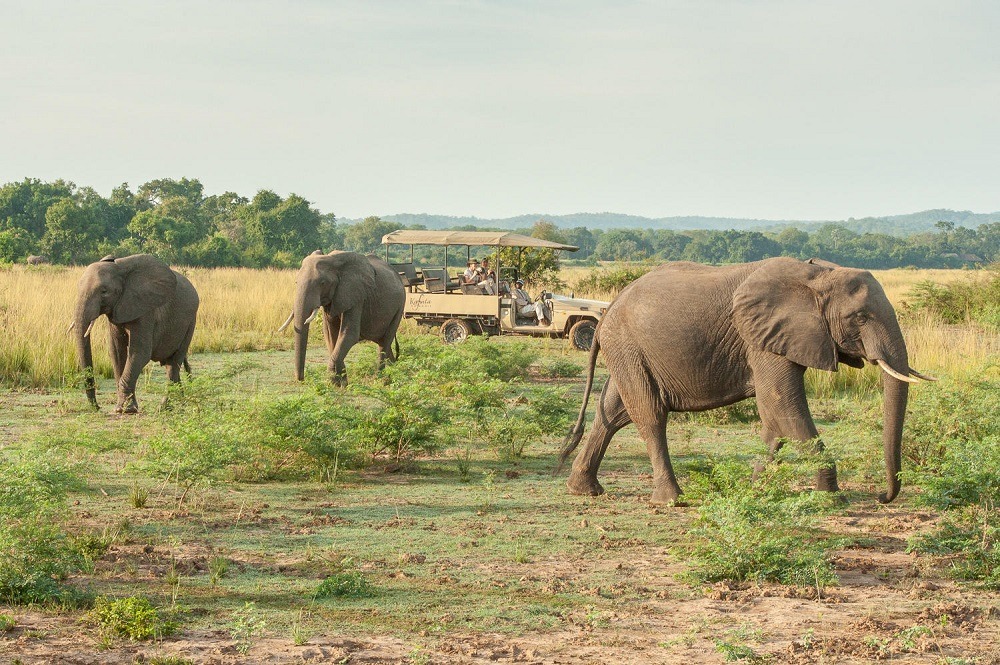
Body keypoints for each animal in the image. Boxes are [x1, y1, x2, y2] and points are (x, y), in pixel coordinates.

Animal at [73, 253, 199, 412]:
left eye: (104, 291)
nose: (98, 407)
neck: (120, 269)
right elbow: (116, 352)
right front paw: (122, 407)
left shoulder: (145, 310)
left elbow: (139, 353)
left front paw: (126, 410)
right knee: (170, 364)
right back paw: (178, 403)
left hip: (190, 322)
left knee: (174, 363)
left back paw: (163, 407)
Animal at [280, 249, 404, 384]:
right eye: (296, 282)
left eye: (323, 283)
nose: (301, 379)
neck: (333, 260)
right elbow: (329, 334)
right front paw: (341, 383)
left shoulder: (356, 296)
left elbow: (349, 334)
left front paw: (334, 381)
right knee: (383, 342)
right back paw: (394, 370)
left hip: (400, 307)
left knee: (385, 342)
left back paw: (381, 379)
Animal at [560, 256, 932, 506]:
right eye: (860, 317)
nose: (883, 497)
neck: (818, 275)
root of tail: (609, 309)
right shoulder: (761, 339)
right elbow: (784, 405)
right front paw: (831, 498)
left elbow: (774, 417)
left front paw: (754, 489)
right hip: (627, 345)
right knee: (650, 415)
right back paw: (671, 500)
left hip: (629, 351)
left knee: (613, 413)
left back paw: (584, 490)